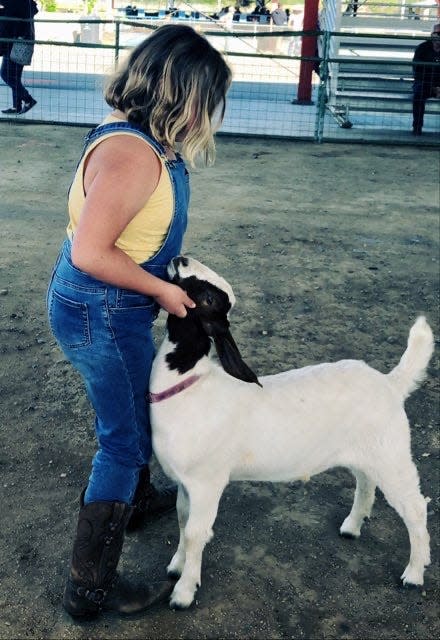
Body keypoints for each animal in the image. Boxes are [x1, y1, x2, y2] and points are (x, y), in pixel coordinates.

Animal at [150, 255, 434, 608]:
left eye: (209, 299)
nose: (180, 258)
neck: (189, 385)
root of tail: (390, 383)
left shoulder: (207, 482)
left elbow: (194, 533)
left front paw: (184, 592)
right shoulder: (185, 482)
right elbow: (181, 517)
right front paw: (176, 566)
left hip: (391, 452)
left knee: (415, 506)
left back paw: (414, 573)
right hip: (367, 451)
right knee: (366, 482)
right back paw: (352, 526)